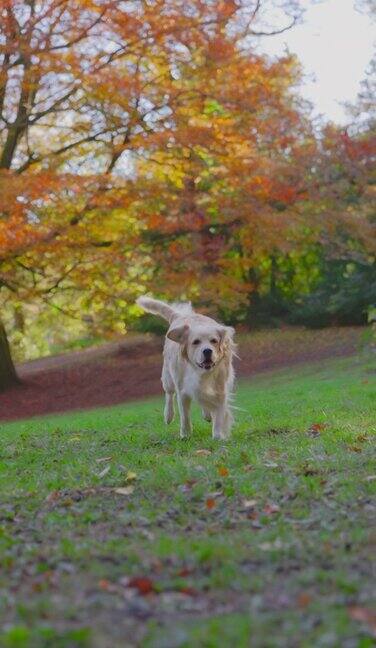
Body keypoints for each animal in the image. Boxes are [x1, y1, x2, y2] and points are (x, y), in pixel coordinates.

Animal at [135, 298, 235, 440]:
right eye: (196, 342)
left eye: (214, 341)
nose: (207, 351)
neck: (200, 372)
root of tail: (179, 316)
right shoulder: (183, 391)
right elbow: (185, 416)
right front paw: (186, 435)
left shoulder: (220, 389)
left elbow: (219, 414)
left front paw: (218, 436)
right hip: (168, 377)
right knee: (169, 394)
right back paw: (168, 415)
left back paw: (207, 414)